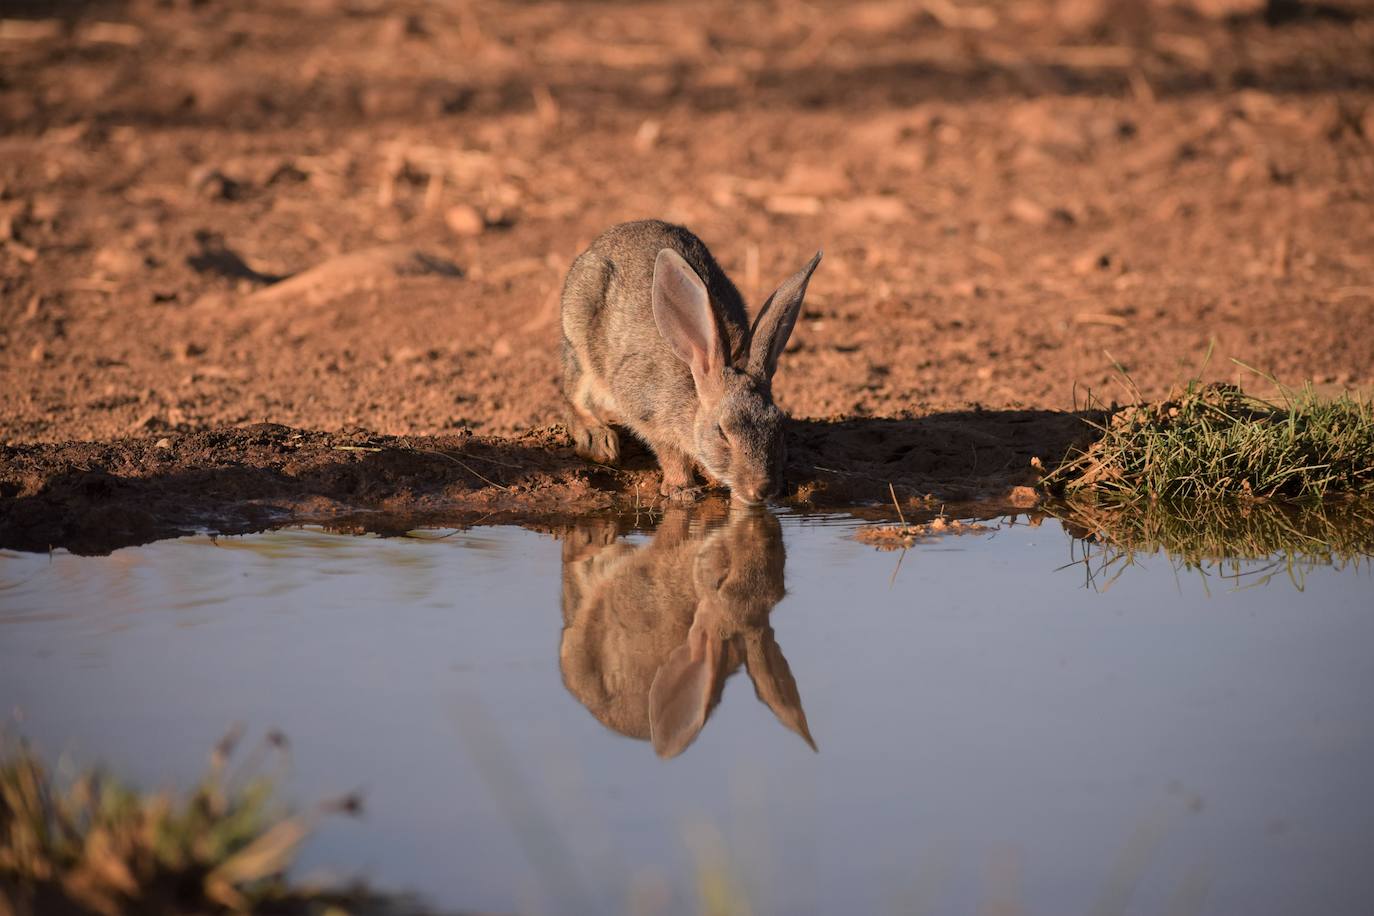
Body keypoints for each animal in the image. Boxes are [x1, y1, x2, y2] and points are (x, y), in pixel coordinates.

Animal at [560, 220, 822, 505]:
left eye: (779, 426)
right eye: (722, 432)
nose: (762, 490)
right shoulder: (647, 412)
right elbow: (669, 452)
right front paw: (682, 490)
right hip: (581, 341)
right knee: (573, 396)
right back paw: (598, 440)